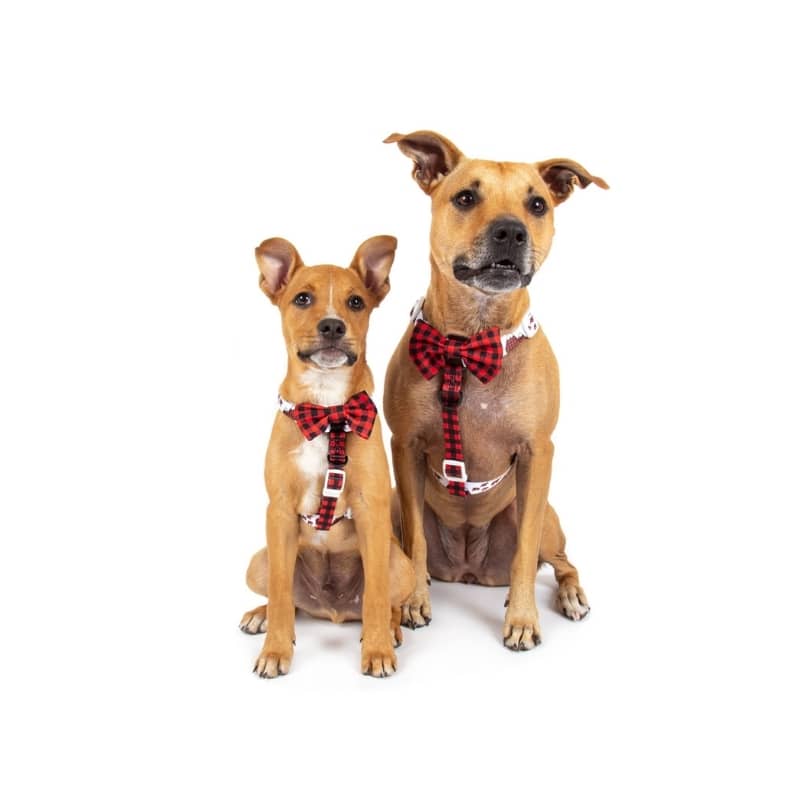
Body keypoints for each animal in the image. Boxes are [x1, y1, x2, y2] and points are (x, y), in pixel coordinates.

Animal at [240, 235, 414, 677]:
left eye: (356, 302)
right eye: (302, 298)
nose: (332, 325)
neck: (327, 410)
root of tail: (332, 609)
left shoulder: (372, 512)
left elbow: (376, 598)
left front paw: (377, 650)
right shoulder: (279, 512)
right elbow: (282, 594)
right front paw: (275, 650)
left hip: (400, 563)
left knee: (386, 602)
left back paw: (391, 631)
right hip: (260, 560)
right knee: (289, 601)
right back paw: (261, 615)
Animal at [382, 130, 607, 649]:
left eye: (538, 204)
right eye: (466, 197)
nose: (511, 231)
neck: (470, 343)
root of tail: (470, 572)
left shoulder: (537, 453)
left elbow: (525, 553)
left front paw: (523, 618)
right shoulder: (404, 447)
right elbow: (415, 543)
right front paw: (413, 602)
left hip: (547, 518)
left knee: (562, 561)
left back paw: (569, 596)